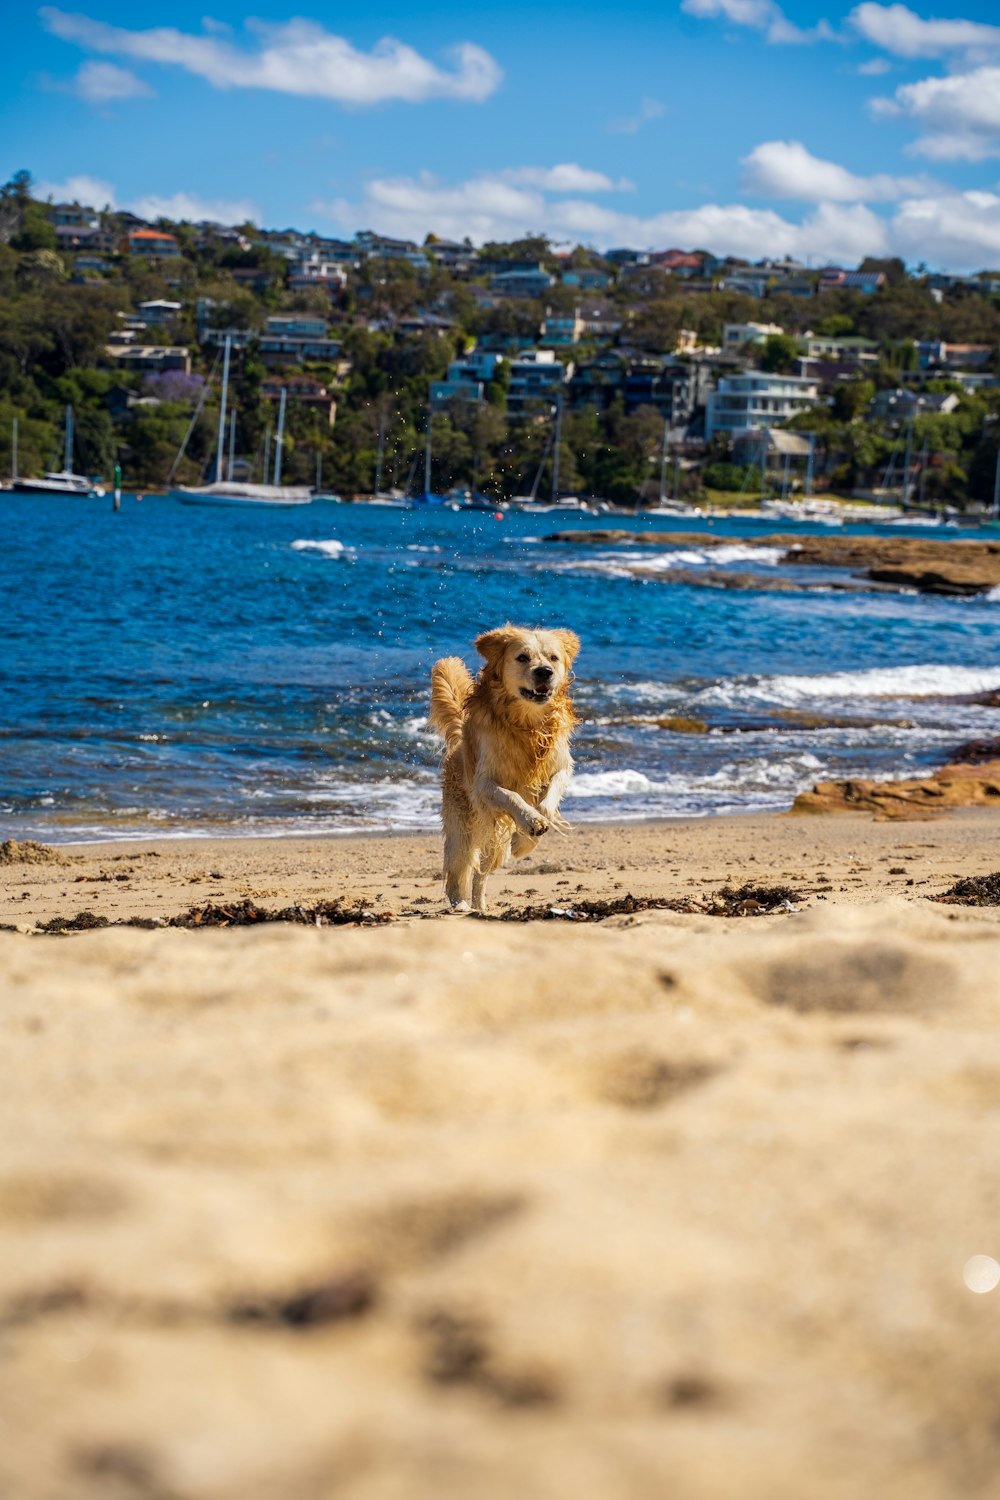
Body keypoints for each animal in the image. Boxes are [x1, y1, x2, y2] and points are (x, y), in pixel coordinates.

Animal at [428, 624, 578, 912]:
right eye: (522, 657)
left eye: (553, 658)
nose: (544, 671)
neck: (527, 723)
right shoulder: (484, 784)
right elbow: (512, 795)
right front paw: (530, 821)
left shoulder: (561, 768)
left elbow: (547, 804)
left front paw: (525, 839)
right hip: (462, 826)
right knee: (458, 869)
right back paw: (460, 904)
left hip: (496, 844)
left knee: (481, 875)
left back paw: (480, 906)